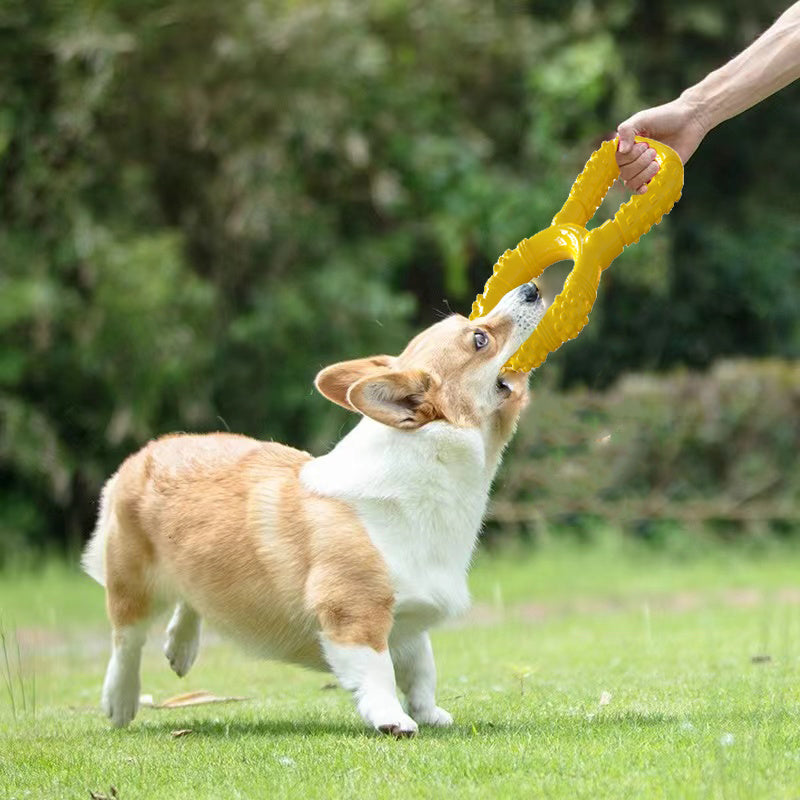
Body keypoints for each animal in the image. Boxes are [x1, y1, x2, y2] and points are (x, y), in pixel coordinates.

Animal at [84, 282, 548, 736]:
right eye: (479, 339)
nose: (532, 289)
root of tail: (148, 449)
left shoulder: (408, 619)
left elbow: (422, 669)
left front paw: (429, 712)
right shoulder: (356, 614)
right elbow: (378, 673)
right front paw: (392, 719)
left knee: (190, 599)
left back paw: (180, 646)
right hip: (131, 581)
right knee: (127, 639)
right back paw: (120, 699)